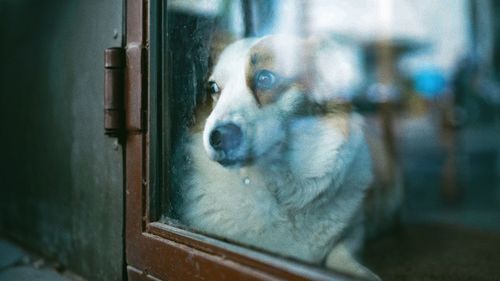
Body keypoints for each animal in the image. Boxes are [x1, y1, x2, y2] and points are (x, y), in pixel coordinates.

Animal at [176, 34, 402, 278]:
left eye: (265, 78)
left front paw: (357, 271)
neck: (276, 184)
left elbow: (339, 252)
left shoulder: (355, 230)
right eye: (213, 87)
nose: (218, 137)